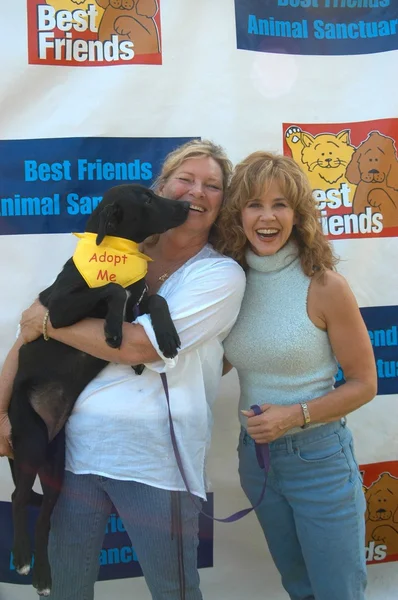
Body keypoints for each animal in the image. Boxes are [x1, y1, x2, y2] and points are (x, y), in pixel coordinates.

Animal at [8, 183, 189, 596]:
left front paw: (165, 335)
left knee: (44, 515)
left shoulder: (140, 302)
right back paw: (23, 559)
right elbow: (114, 288)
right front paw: (112, 330)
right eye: (148, 199)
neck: (117, 250)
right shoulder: (59, 310)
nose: (188, 204)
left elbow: (152, 296)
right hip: (30, 438)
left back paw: (44, 576)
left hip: (56, 463)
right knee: (17, 497)